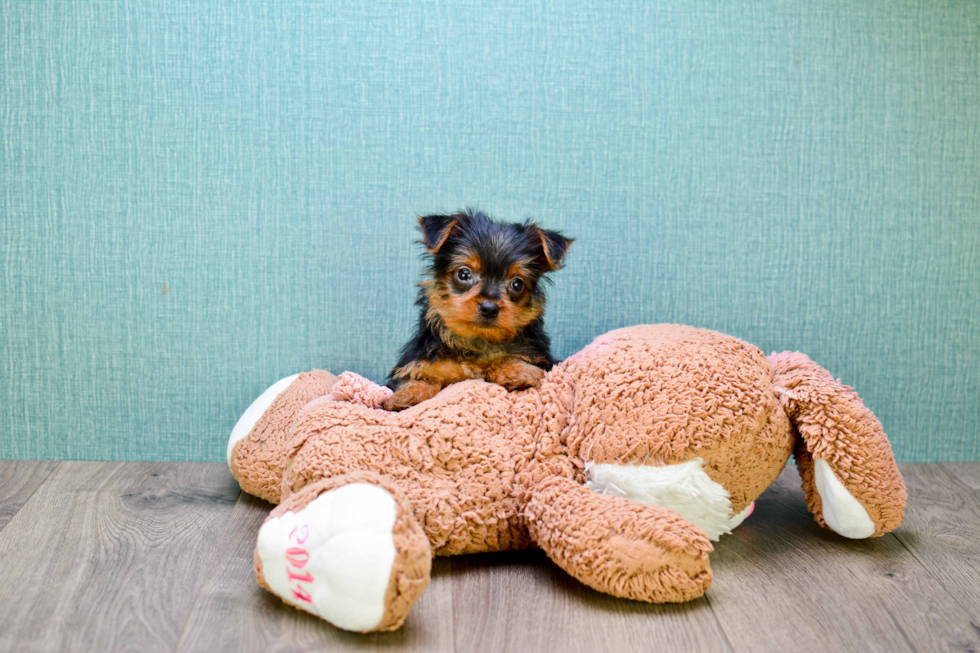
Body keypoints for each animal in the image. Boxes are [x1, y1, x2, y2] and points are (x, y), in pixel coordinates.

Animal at [380, 209, 572, 410]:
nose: (489, 308)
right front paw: (407, 395)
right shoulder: (422, 363)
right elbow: (420, 378)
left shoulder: (542, 358)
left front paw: (516, 370)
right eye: (464, 274)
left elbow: (501, 359)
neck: (476, 342)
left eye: (517, 284)